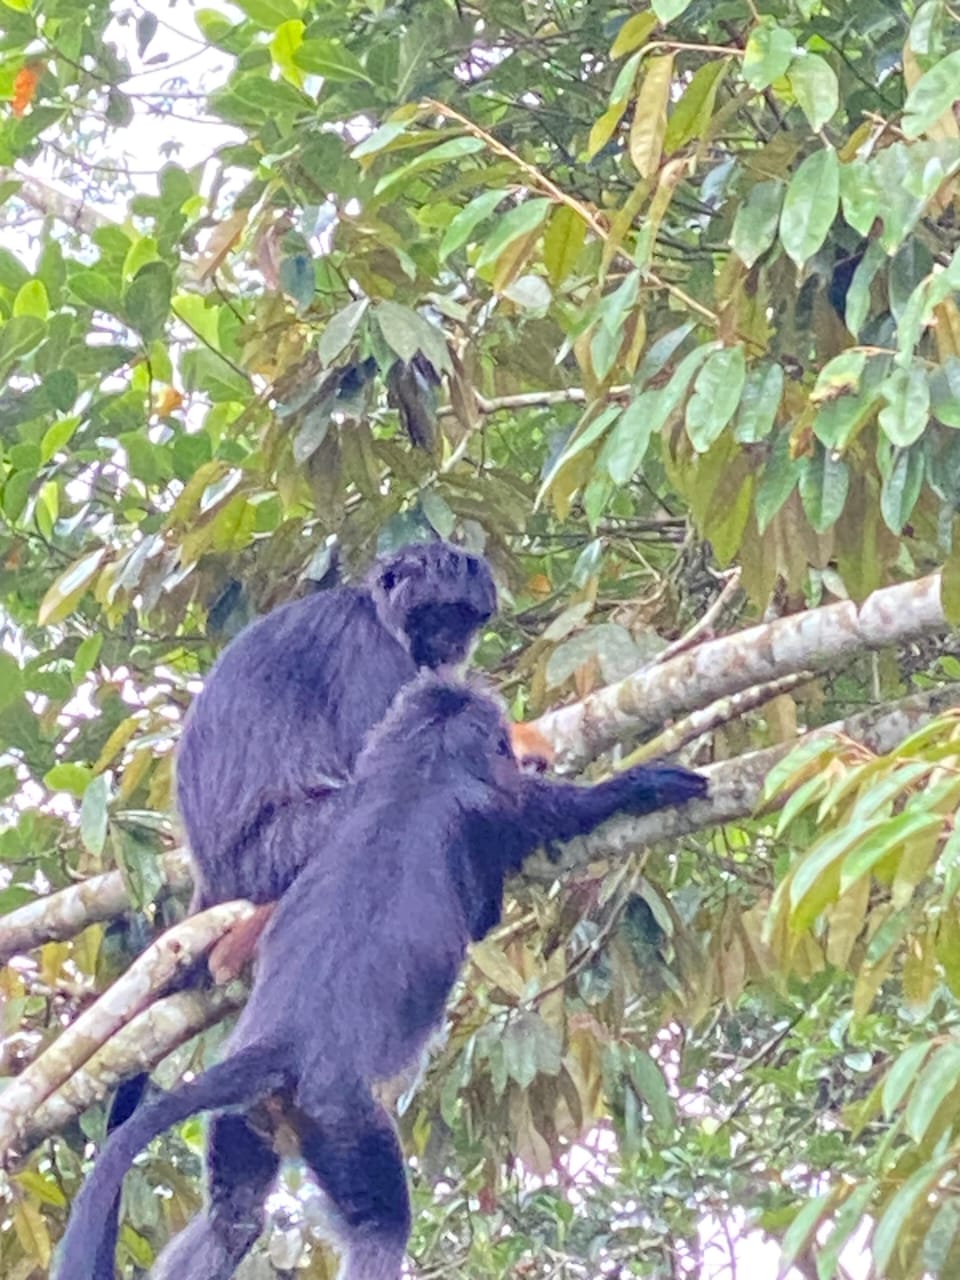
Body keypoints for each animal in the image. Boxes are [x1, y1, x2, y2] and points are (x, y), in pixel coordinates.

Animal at [55, 674, 708, 1280]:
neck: (415, 768)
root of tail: (281, 1041)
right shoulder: (493, 803)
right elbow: (540, 838)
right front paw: (642, 786)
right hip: (340, 1119)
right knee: (380, 1226)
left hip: (249, 1115)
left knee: (233, 1218)